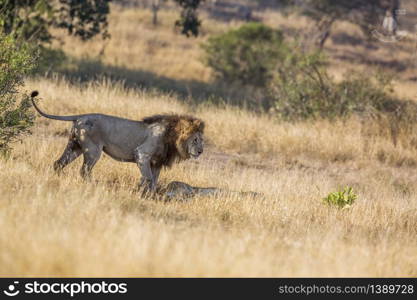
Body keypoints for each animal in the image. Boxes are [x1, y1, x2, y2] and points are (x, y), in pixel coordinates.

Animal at [30, 90, 203, 191]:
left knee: (58, 163)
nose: (201, 151)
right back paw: (93, 186)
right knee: (84, 170)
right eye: (195, 140)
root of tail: (81, 116)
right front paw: (139, 191)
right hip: (93, 150)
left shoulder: (157, 163)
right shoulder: (142, 154)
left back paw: (57, 178)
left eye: (202, 140)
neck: (172, 137)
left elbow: (153, 181)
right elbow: (147, 178)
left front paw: (149, 195)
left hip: (75, 147)